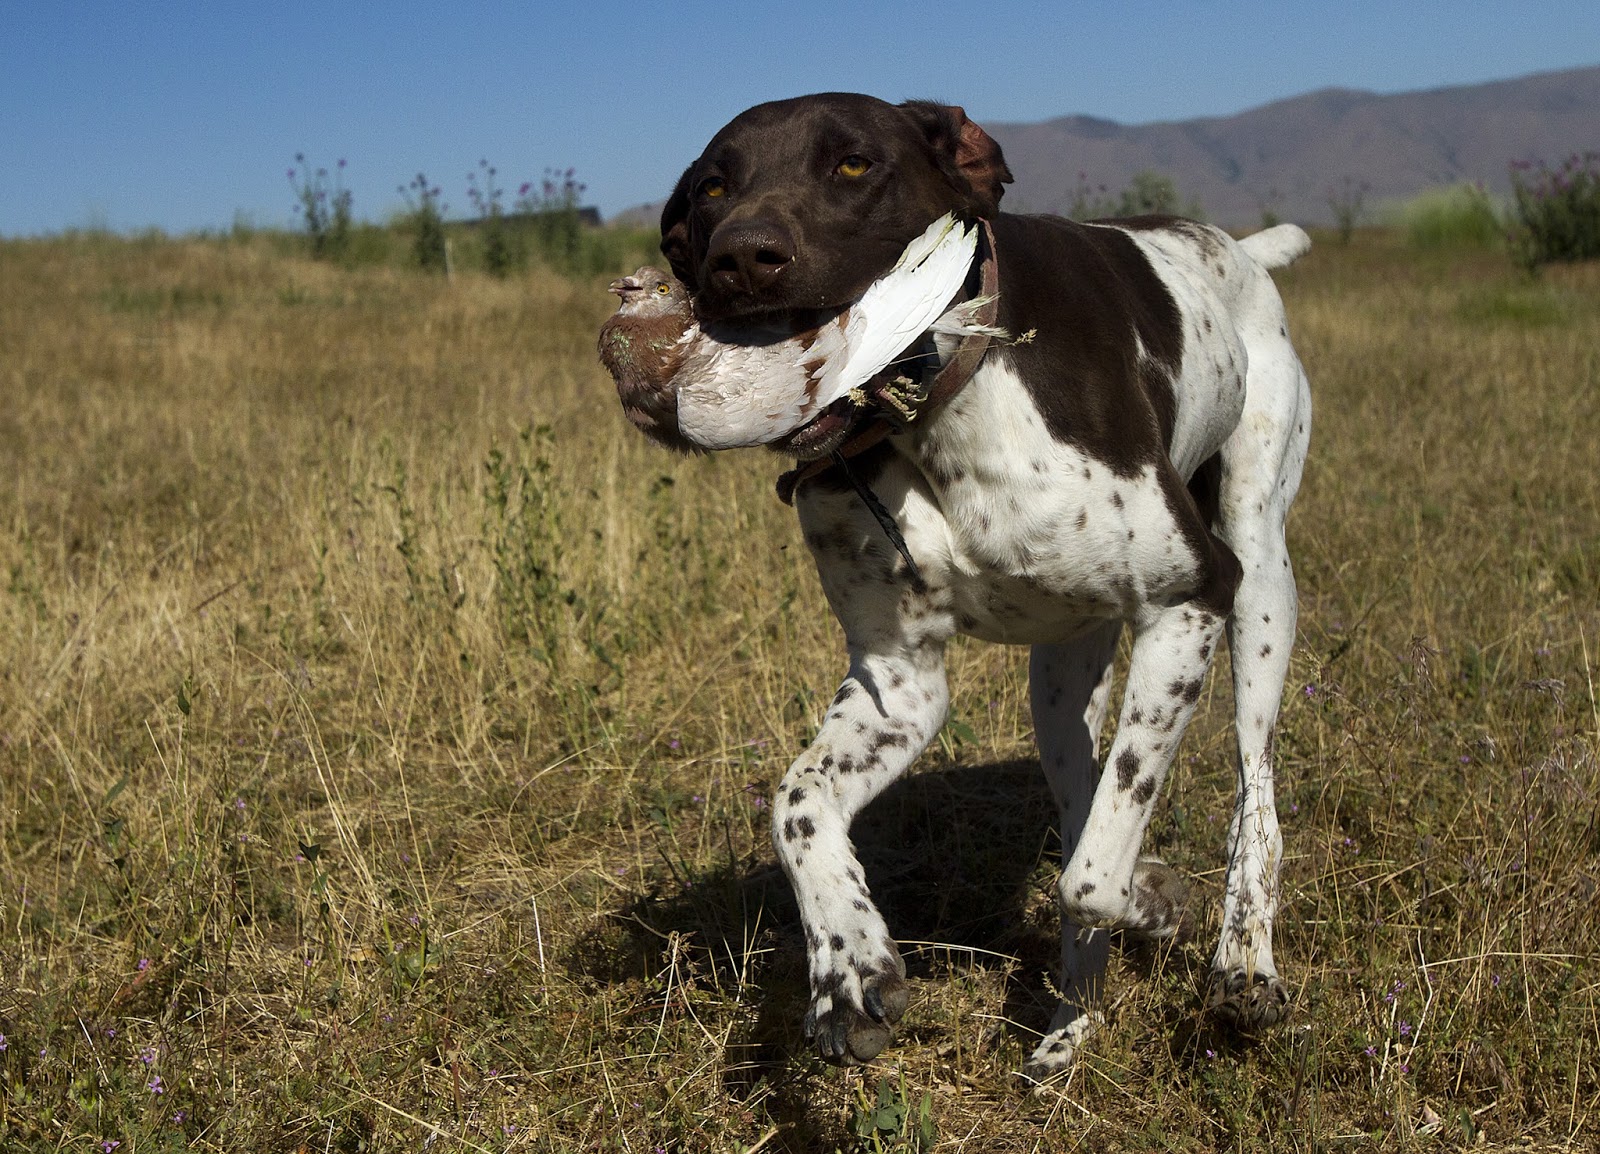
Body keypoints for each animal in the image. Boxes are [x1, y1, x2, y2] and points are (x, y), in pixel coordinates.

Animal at [649, 94, 1312, 1075]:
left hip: (1258, 576)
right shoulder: (899, 682)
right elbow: (798, 803)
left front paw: (1158, 897)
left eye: (853, 165)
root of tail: (1242, 250)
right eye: (711, 189)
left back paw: (1244, 964)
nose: (741, 257)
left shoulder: (1188, 599)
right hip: (1063, 679)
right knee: (1085, 794)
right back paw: (1068, 1032)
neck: (939, 412)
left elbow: (1090, 881)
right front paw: (848, 963)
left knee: (1252, 791)